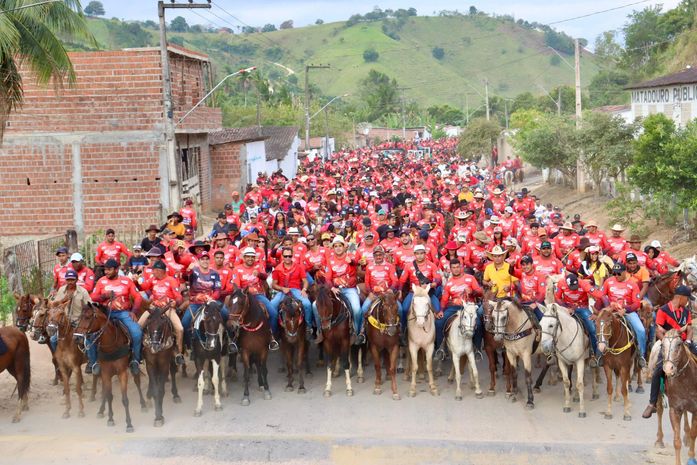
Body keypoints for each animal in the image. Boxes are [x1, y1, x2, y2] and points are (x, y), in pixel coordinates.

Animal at [73, 300, 147, 432]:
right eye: (79, 317)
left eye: (88, 317)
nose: (76, 337)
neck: (111, 345)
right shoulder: (106, 373)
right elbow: (108, 396)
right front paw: (110, 419)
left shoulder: (122, 373)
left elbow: (125, 399)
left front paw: (129, 423)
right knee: (105, 391)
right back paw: (101, 411)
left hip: (133, 367)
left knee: (137, 381)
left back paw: (143, 404)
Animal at [656, 328, 696, 464]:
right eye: (662, 345)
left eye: (679, 344)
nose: (668, 368)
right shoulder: (674, 409)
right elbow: (676, 441)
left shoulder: (696, 409)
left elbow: (694, 434)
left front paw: (691, 457)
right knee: (659, 410)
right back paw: (659, 440)